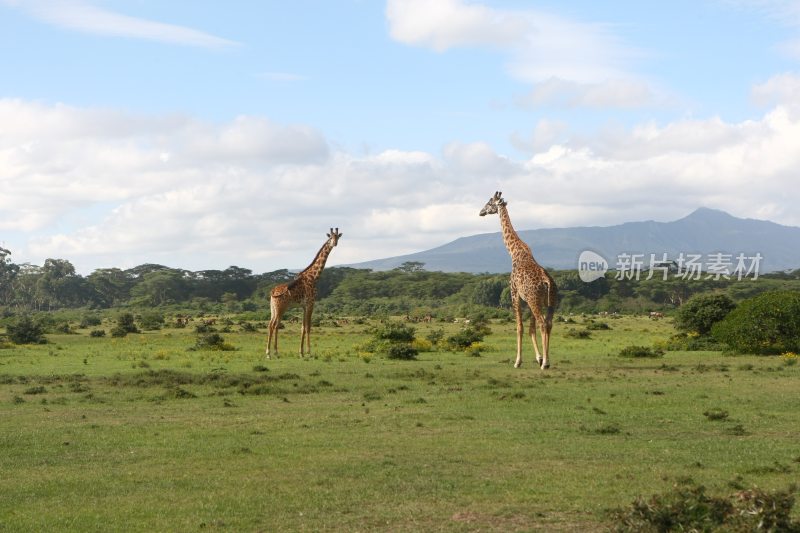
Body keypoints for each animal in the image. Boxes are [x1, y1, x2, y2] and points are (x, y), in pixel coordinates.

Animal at [266, 228, 340, 358]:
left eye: (338, 237)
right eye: (330, 237)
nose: (334, 243)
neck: (314, 277)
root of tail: (273, 291)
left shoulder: (304, 306)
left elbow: (302, 327)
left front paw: (301, 352)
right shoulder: (311, 303)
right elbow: (308, 327)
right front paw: (309, 352)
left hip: (273, 308)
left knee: (270, 325)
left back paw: (268, 352)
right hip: (281, 308)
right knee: (274, 325)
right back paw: (274, 353)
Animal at [478, 192, 560, 370]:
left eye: (489, 202)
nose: (481, 212)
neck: (515, 252)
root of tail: (547, 281)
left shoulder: (514, 294)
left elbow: (520, 328)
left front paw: (518, 361)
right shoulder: (527, 300)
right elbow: (530, 329)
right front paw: (539, 358)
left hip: (534, 300)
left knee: (542, 323)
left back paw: (546, 364)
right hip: (549, 301)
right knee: (548, 323)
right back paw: (546, 361)